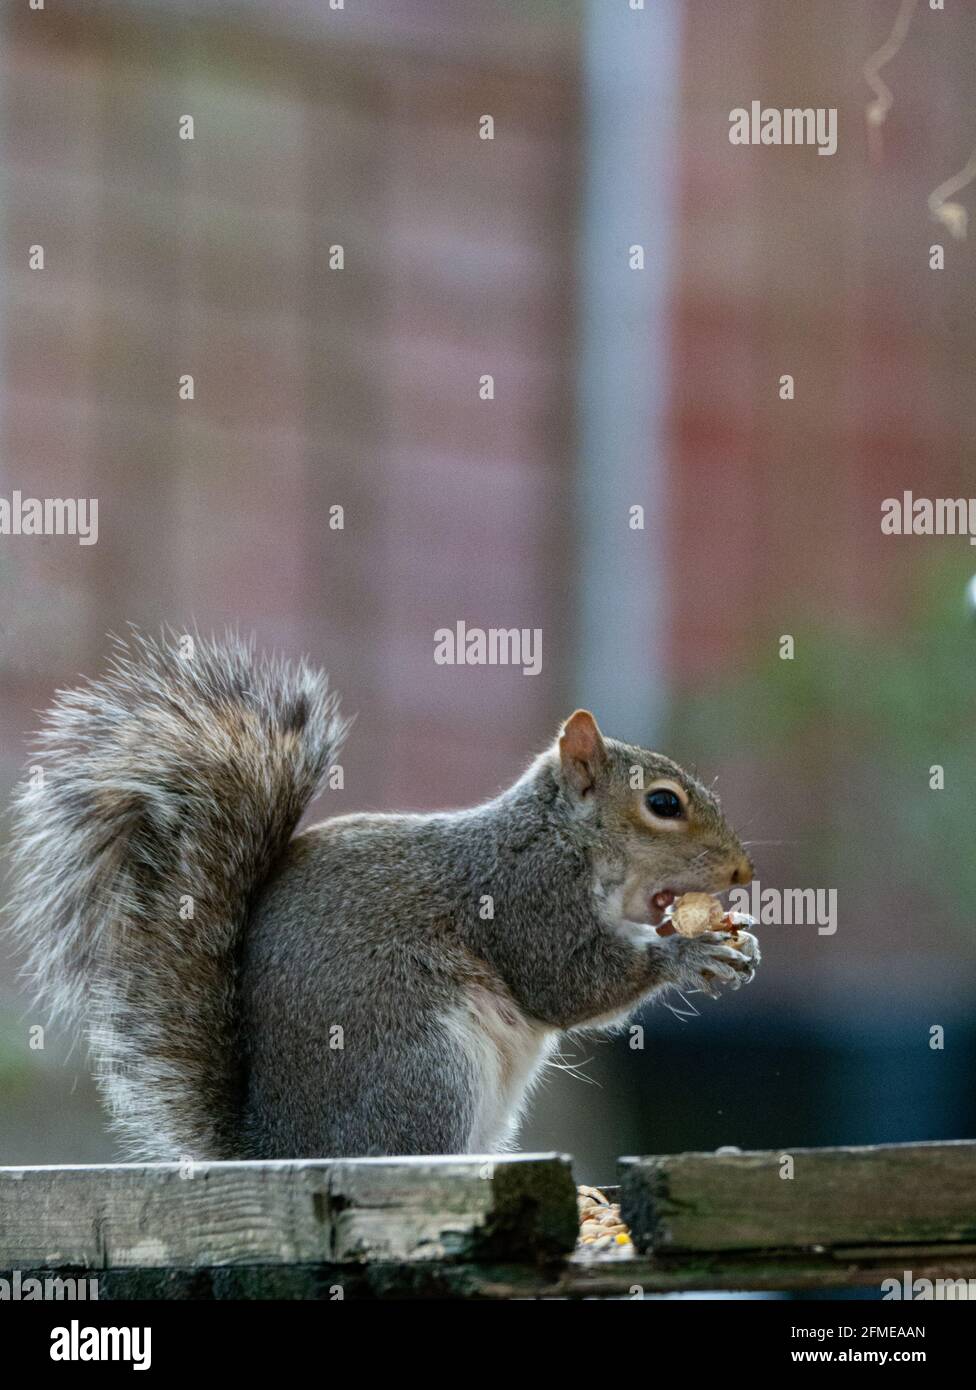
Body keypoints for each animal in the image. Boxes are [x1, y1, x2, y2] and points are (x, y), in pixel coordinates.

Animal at [6, 632, 760, 1161]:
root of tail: (274, 1152)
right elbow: (569, 985)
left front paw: (737, 940)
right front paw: (689, 955)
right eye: (663, 804)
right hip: (424, 1067)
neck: (562, 836)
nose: (741, 872)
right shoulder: (526, 895)